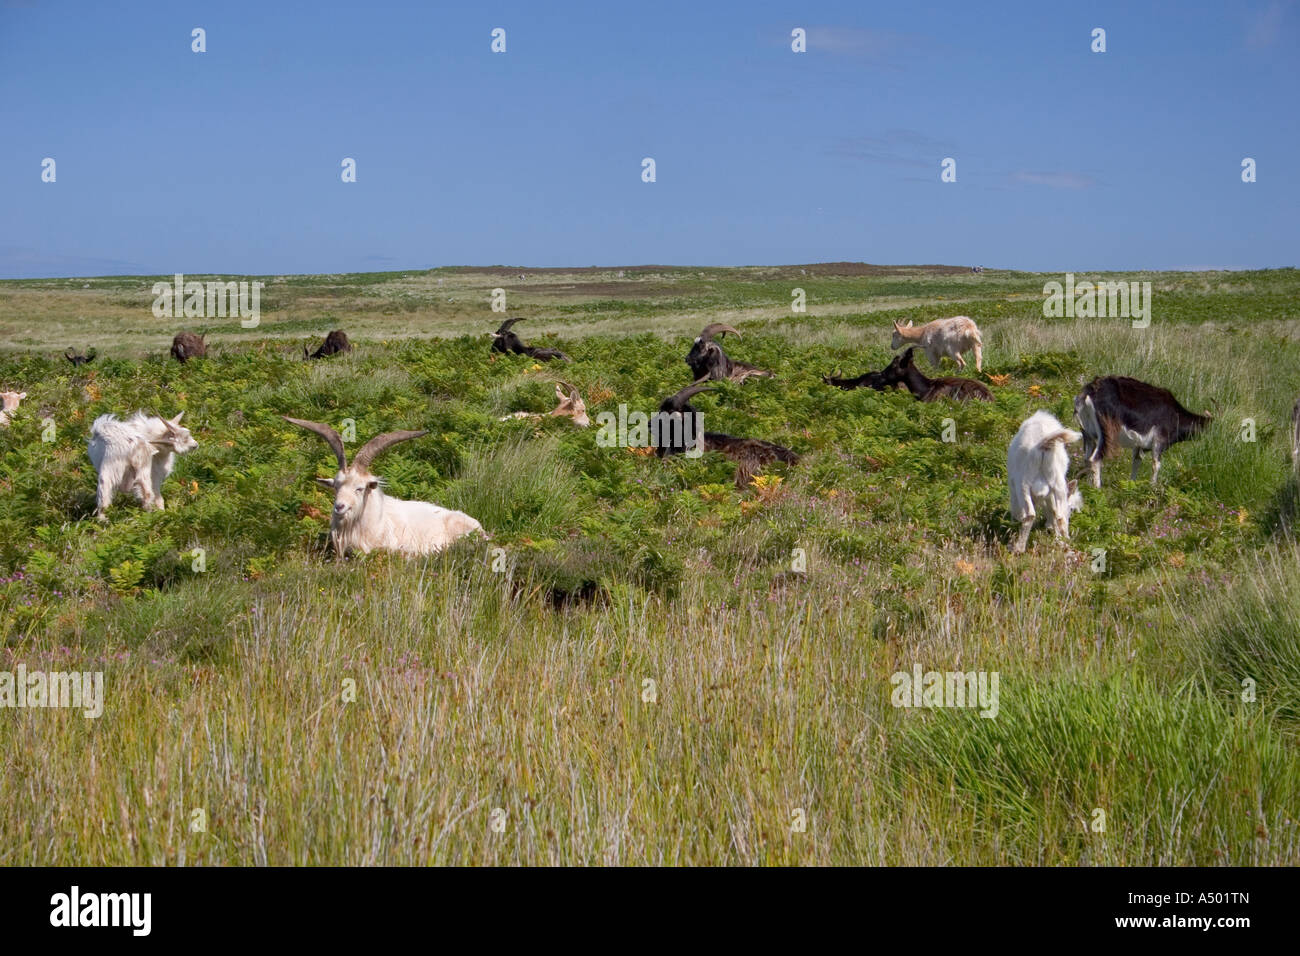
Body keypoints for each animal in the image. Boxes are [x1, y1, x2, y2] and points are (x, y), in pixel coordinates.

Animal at [1003, 408, 1086, 554]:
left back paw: (1018, 548)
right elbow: (1053, 511)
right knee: (1059, 517)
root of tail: (1043, 446)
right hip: (1057, 483)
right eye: (1071, 508)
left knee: (1030, 515)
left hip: (1022, 483)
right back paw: (1062, 543)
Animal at [1071, 374, 1211, 486]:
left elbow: (1137, 461)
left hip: (1088, 433)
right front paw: (1152, 487)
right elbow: (1156, 465)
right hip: (1106, 434)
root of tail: (1089, 392)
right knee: (1094, 459)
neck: (1175, 414)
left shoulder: (1139, 446)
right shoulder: (1159, 441)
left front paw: (1131, 485)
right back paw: (1097, 488)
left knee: (1087, 459)